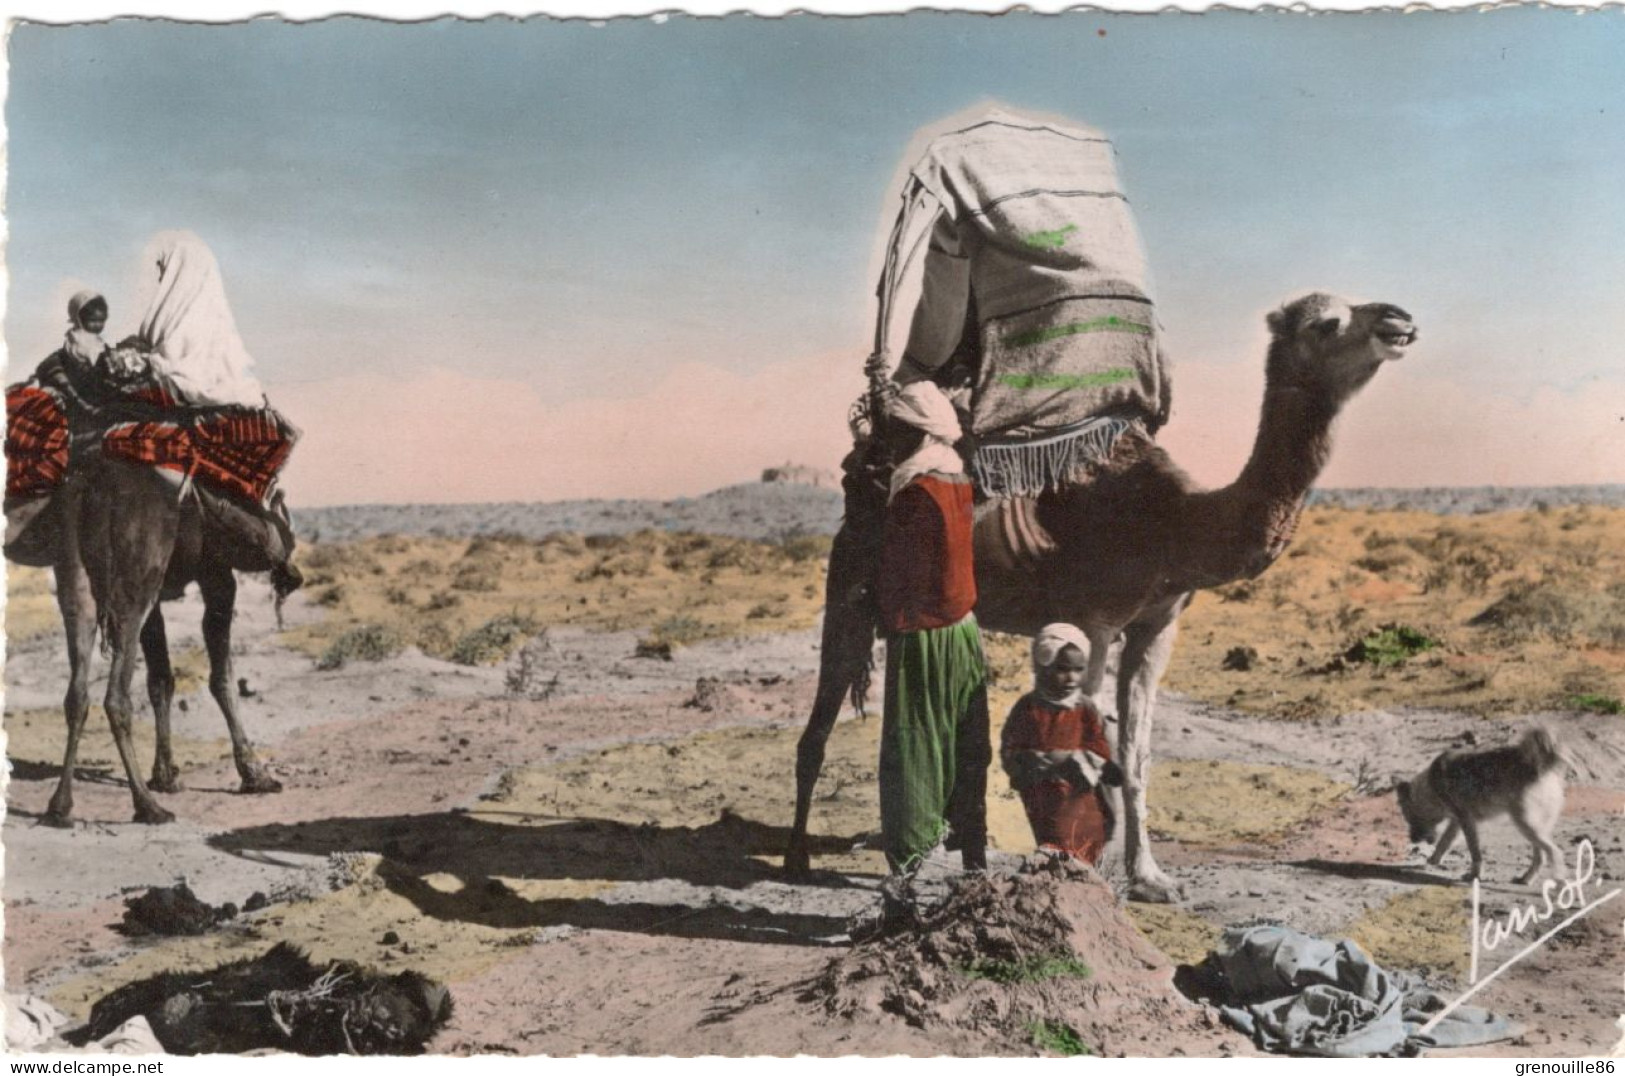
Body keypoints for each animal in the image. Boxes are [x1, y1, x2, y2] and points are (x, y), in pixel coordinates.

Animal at [780, 292, 1417, 903]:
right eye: (1327, 322)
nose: (1399, 319)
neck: (1175, 521)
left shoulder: (1158, 626)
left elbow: (1135, 756)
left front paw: (1152, 877)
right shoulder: (1094, 620)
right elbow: (1081, 741)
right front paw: (1079, 868)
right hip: (850, 588)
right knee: (817, 731)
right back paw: (798, 860)